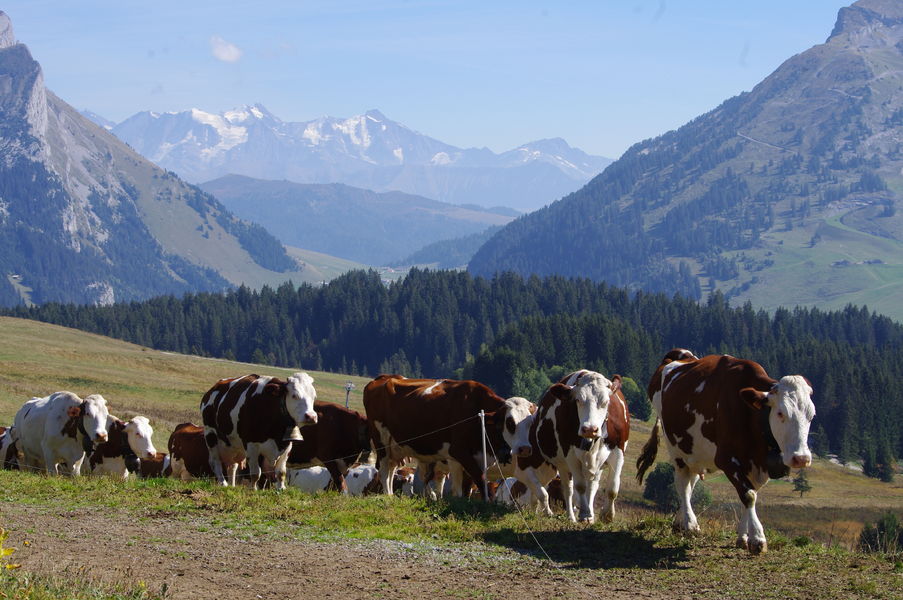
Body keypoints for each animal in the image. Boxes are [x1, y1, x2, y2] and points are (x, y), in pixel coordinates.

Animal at [363, 375, 533, 500]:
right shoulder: (458, 453)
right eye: (509, 422)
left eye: (530, 422)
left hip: (396, 446)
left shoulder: (477, 456)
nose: (525, 449)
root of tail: (385, 378)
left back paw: (392, 494)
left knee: (392, 469)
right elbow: (476, 480)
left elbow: (468, 485)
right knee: (384, 469)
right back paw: (388, 495)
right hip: (381, 440)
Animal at [516, 370, 624, 523]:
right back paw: (571, 516)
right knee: (568, 489)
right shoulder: (570, 454)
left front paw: (607, 515)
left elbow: (613, 488)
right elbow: (580, 487)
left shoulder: (619, 450)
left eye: (606, 402)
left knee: (592, 486)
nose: (589, 429)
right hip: (562, 465)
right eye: (578, 400)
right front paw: (584, 514)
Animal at [636, 351, 815, 555]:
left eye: (812, 415)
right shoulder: (727, 459)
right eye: (780, 413)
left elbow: (750, 494)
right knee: (682, 484)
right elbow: (749, 495)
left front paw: (743, 537)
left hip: (695, 453)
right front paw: (757, 538)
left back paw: (680, 522)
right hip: (676, 448)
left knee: (691, 482)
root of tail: (681, 355)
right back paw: (689, 524)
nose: (801, 458)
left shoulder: (755, 464)